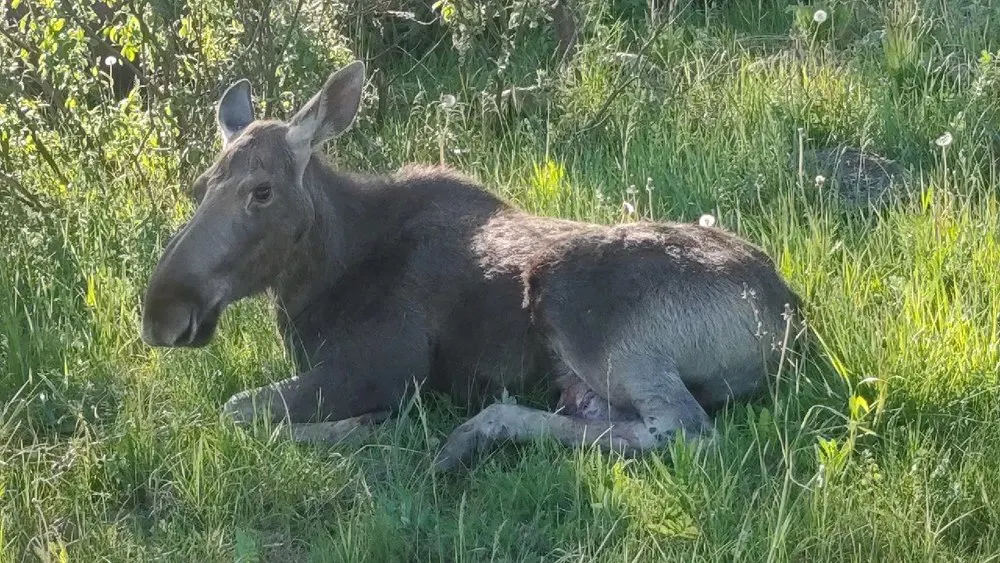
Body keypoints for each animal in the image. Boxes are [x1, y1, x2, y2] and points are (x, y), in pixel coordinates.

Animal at [140, 60, 805, 472]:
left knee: (685, 431)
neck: (315, 284)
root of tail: (788, 316)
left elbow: (237, 412)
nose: (162, 311)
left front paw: (363, 426)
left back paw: (474, 433)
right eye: (200, 186)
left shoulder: (382, 366)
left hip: (585, 309)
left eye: (261, 191)